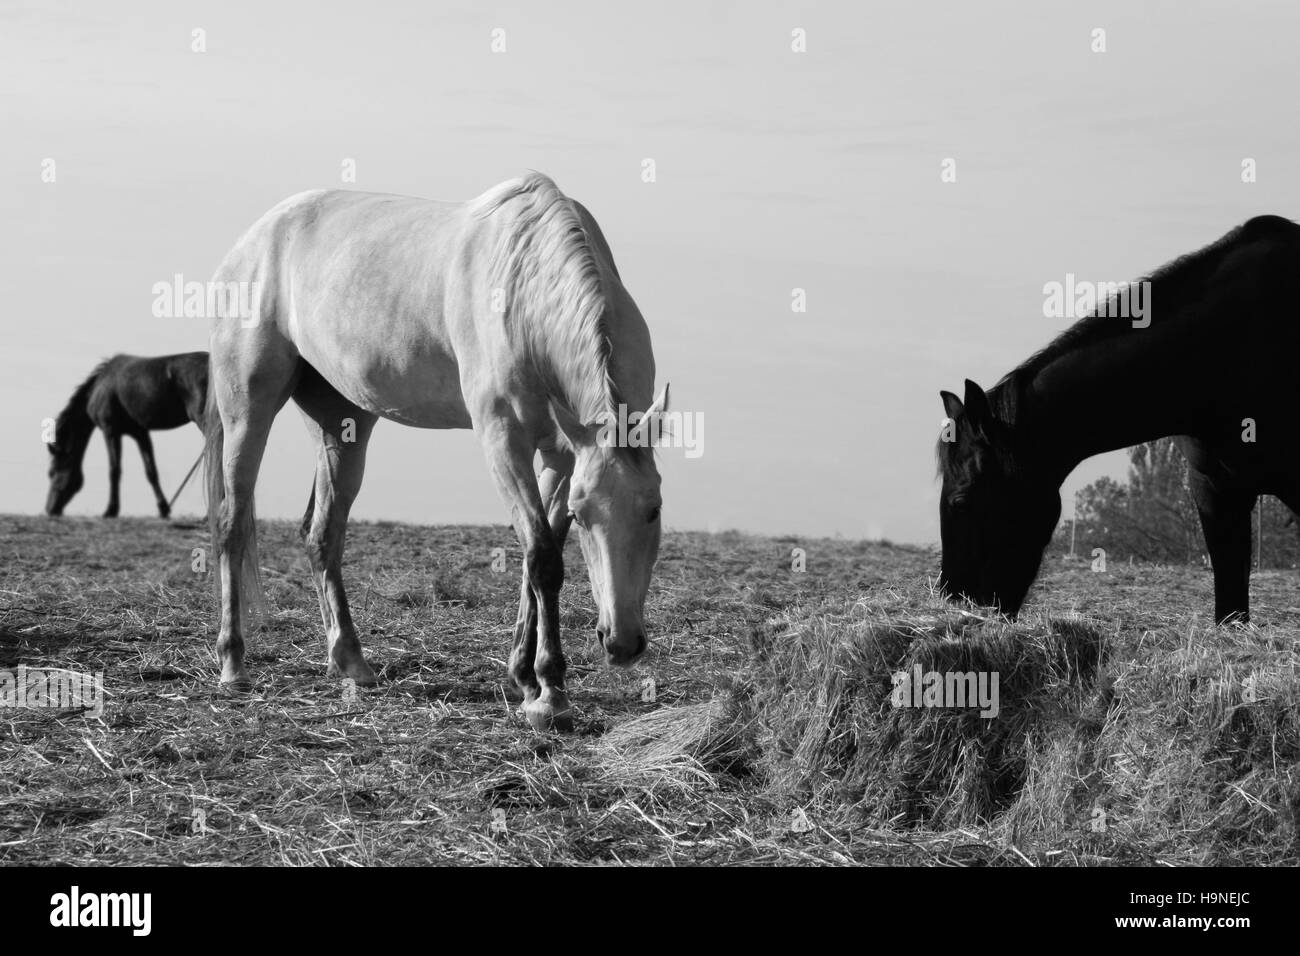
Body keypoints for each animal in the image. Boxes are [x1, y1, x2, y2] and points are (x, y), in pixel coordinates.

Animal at [46, 352, 209, 518]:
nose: (50, 509)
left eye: (52, 473)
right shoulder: (140, 433)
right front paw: (163, 508)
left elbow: (114, 470)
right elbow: (151, 472)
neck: (99, 387)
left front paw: (111, 510)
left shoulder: (110, 431)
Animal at [204, 173, 668, 732]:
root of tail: (254, 240)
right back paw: (233, 664)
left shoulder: (561, 454)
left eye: (653, 510)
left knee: (322, 536)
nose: (621, 644)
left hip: (343, 426)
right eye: (585, 517)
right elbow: (542, 558)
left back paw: (352, 662)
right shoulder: (502, 439)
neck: (524, 289)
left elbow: (539, 556)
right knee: (233, 523)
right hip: (247, 411)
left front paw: (528, 677)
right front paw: (549, 695)